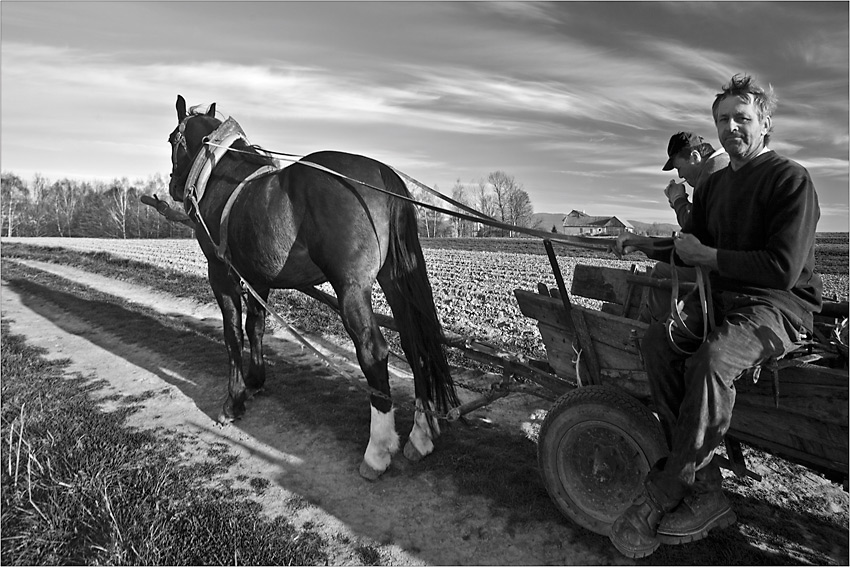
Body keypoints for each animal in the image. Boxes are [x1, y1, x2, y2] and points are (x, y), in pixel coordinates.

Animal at [166, 94, 458, 480]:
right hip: (394, 279)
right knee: (414, 344)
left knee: (374, 351)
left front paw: (234, 401)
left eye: (172, 139)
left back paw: (377, 450)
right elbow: (256, 326)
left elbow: (233, 334)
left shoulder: (222, 275)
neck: (223, 179)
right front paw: (256, 381)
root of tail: (382, 173)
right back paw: (421, 435)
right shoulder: (257, 277)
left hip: (351, 288)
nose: (172, 185)